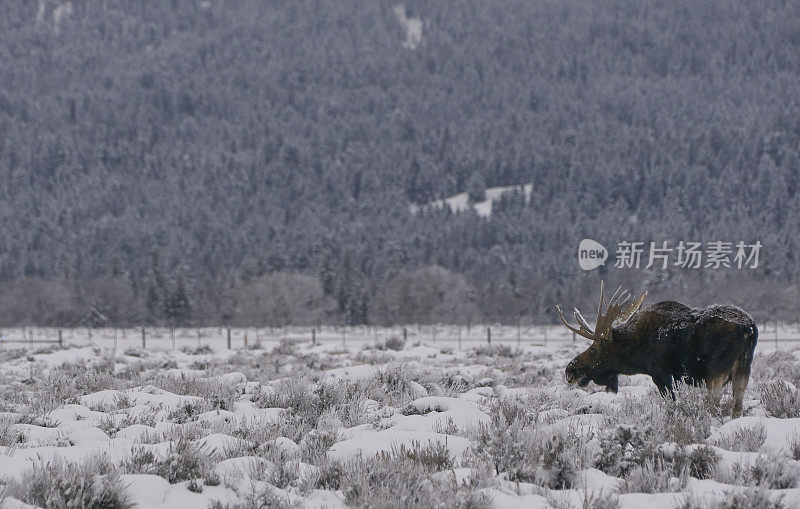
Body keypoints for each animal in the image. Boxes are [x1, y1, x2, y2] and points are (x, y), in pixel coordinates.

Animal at [556, 282, 756, 416]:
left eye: (593, 350)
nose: (570, 369)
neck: (637, 355)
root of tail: (749, 329)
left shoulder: (661, 374)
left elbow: (672, 404)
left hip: (716, 373)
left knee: (714, 403)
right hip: (743, 370)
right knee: (737, 406)